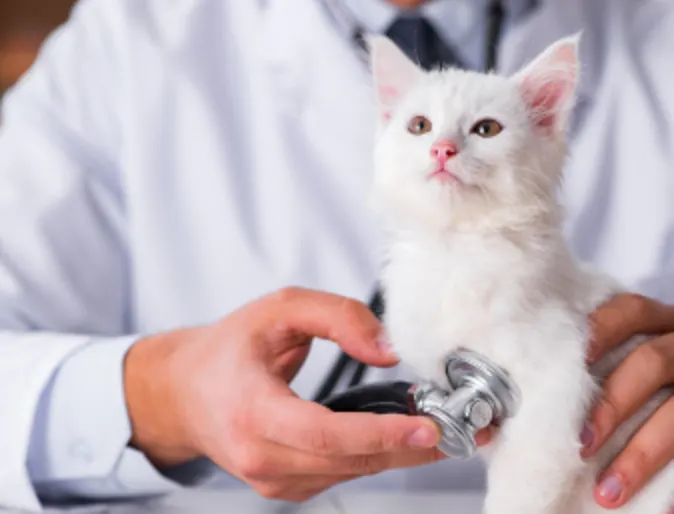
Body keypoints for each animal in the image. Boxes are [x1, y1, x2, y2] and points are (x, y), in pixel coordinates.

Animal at [368, 34, 672, 510]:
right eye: (419, 126)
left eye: (486, 130)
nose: (442, 149)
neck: (456, 251)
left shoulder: (553, 389)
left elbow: (522, 488)